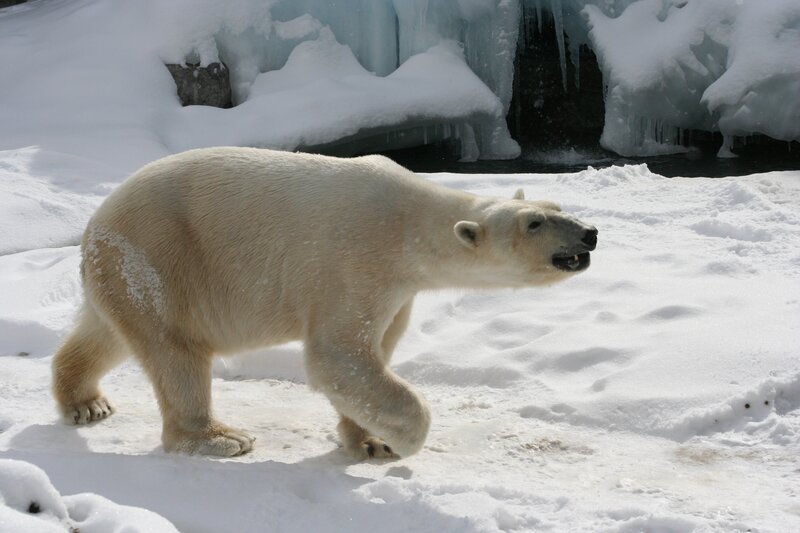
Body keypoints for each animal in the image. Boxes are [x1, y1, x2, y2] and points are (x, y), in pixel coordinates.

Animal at [52, 147, 597, 460]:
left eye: (556, 208)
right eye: (534, 223)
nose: (589, 233)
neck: (408, 223)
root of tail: (94, 224)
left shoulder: (397, 289)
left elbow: (375, 353)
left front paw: (369, 439)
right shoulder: (355, 260)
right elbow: (338, 356)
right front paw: (401, 440)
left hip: (124, 271)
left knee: (106, 334)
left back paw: (86, 402)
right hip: (160, 259)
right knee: (175, 352)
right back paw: (220, 438)